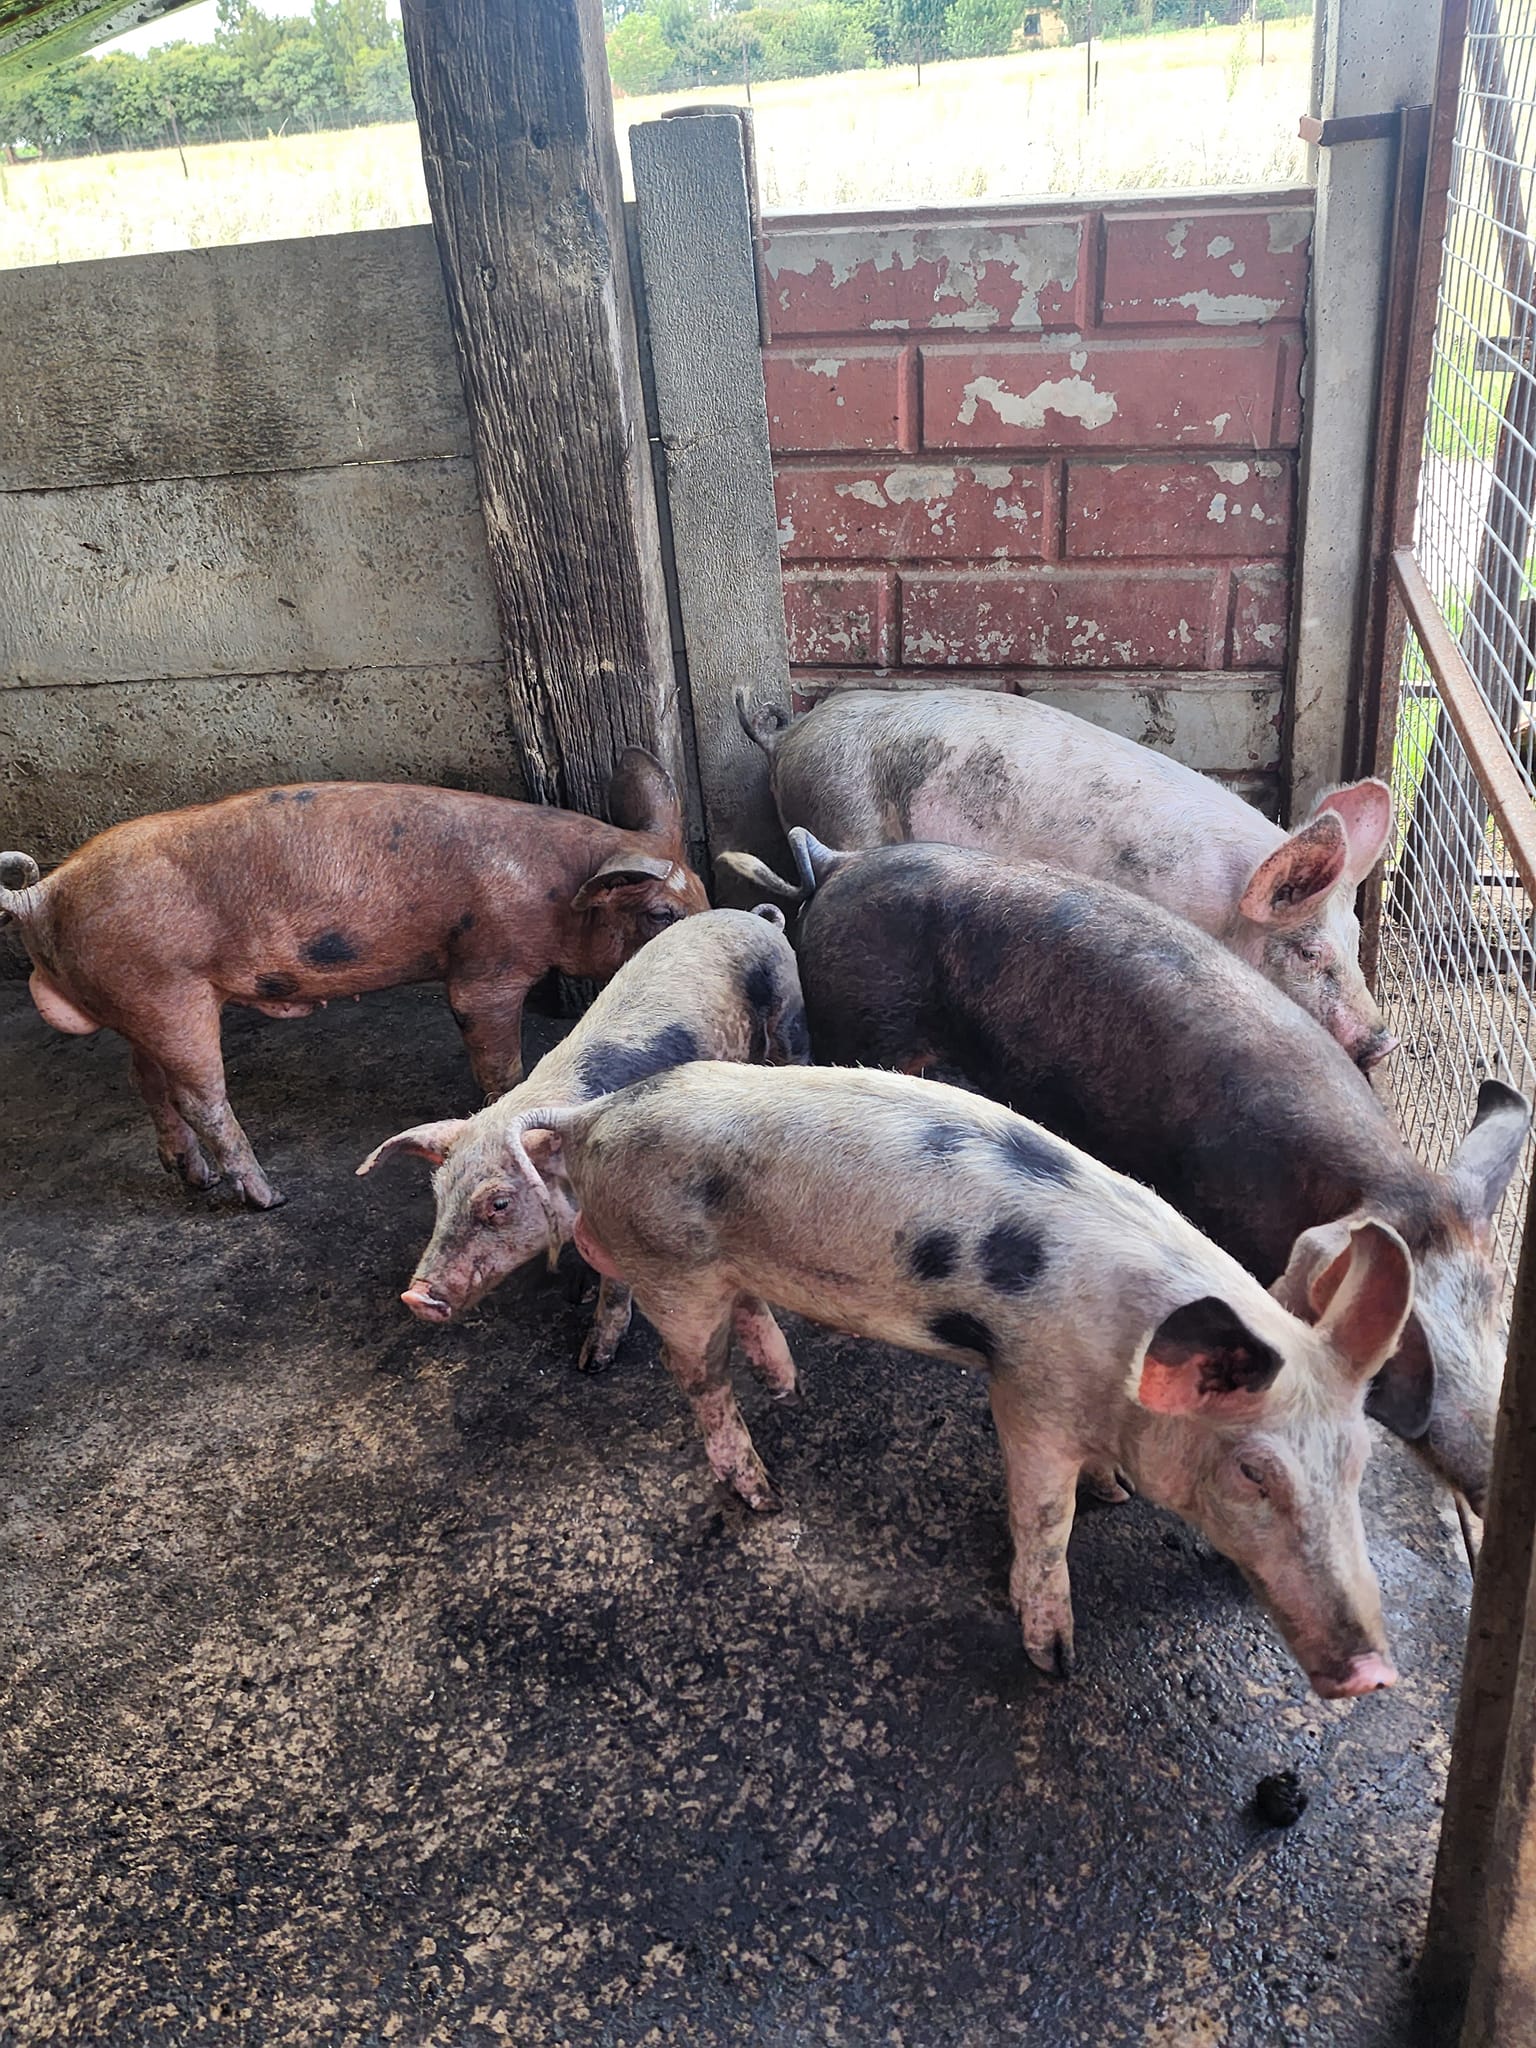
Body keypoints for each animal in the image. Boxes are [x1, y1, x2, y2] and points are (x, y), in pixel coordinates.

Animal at [0, 751, 706, 1210]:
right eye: (660, 914)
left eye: (699, 891)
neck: (559, 892)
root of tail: (43, 893)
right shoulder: (489, 963)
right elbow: (494, 1051)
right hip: (167, 993)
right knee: (201, 1098)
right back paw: (268, 1198)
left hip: (136, 1001)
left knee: (146, 1083)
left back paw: (194, 1179)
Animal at [357, 905, 809, 1368]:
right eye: (439, 1194)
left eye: (499, 1204)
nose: (415, 1296)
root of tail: (757, 918)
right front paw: (577, 1292)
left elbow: (619, 1287)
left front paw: (592, 1361)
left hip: (790, 1013)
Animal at [496, 1062, 1414, 1698]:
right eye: (1254, 1473)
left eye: (1359, 1466)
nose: (1376, 1674)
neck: (1122, 1371)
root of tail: (591, 1116)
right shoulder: (1029, 1394)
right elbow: (1044, 1523)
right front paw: (1057, 1663)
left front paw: (1114, 1491)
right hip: (672, 1271)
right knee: (696, 1378)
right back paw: (763, 1493)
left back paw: (787, 1381)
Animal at [730, 687, 1396, 1068]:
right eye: (1309, 953)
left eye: (1355, 935)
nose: (1383, 1040)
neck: (1226, 906)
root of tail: (788, 736)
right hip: (844, 813)